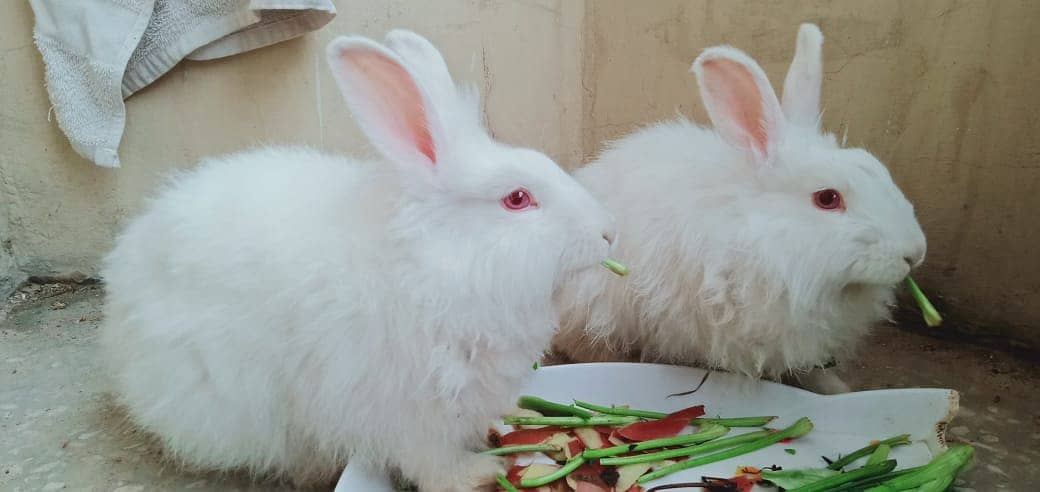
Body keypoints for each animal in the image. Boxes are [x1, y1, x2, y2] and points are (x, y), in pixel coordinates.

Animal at [100, 29, 611, 486]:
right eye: (517, 199)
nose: (607, 233)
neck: (437, 266)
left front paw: (509, 421)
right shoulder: (404, 410)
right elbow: (431, 462)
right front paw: (479, 474)